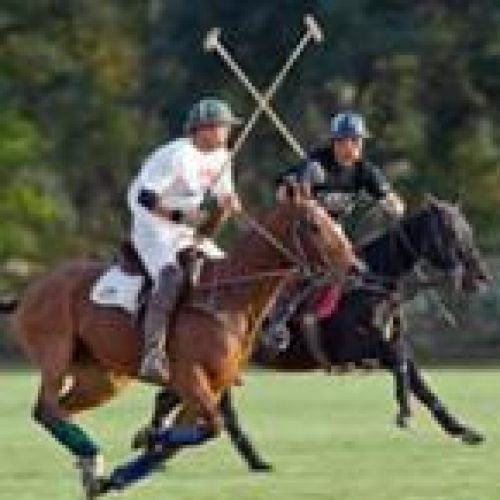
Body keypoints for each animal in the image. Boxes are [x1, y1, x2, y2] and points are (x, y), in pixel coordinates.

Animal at [1, 187, 358, 498]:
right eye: (314, 225)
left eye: (336, 222)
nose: (355, 267)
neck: (230, 298)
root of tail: (29, 291)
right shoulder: (189, 377)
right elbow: (210, 426)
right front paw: (149, 436)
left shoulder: (210, 386)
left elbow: (188, 436)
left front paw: (128, 466)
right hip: (56, 352)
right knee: (45, 409)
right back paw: (94, 456)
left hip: (103, 378)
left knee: (62, 409)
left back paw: (92, 466)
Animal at [135, 197, 491, 471]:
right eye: (450, 232)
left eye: (469, 230)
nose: (480, 277)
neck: (369, 285)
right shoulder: (354, 347)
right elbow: (400, 362)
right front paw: (404, 412)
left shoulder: (386, 343)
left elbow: (420, 381)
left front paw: (463, 429)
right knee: (212, 407)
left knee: (170, 398)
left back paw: (160, 446)